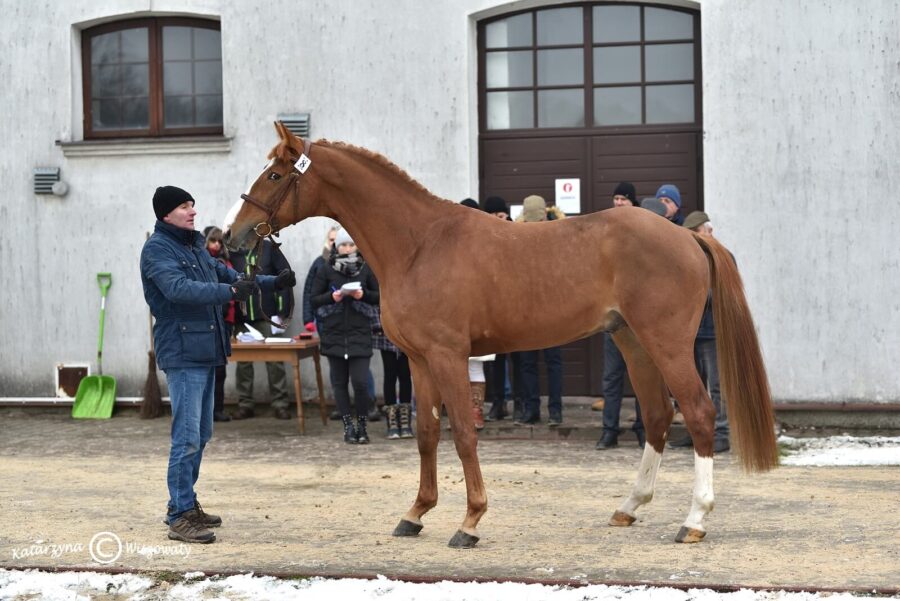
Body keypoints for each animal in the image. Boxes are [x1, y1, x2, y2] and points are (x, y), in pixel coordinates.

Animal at [221, 123, 776, 548]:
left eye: (274, 175)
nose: (232, 235)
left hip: (667, 343)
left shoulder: (448, 356)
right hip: (632, 341)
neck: (419, 244)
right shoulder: (419, 361)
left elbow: (465, 435)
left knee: (698, 412)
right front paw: (415, 513)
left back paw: (694, 520)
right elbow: (426, 435)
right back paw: (629, 506)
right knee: (659, 415)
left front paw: (470, 521)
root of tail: (687, 235)